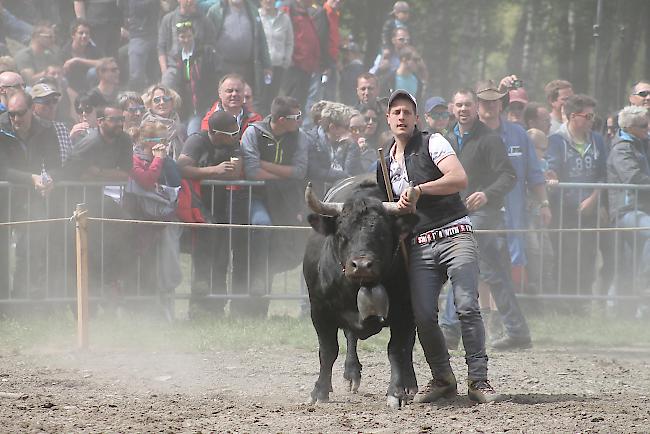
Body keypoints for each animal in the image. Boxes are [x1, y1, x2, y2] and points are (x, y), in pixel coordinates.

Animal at [302, 175, 418, 406]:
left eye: (383, 234)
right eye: (341, 234)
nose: (362, 265)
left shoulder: (406, 312)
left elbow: (397, 350)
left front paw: (396, 392)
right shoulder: (319, 311)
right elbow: (328, 351)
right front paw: (319, 392)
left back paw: (409, 385)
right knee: (350, 337)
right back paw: (351, 373)